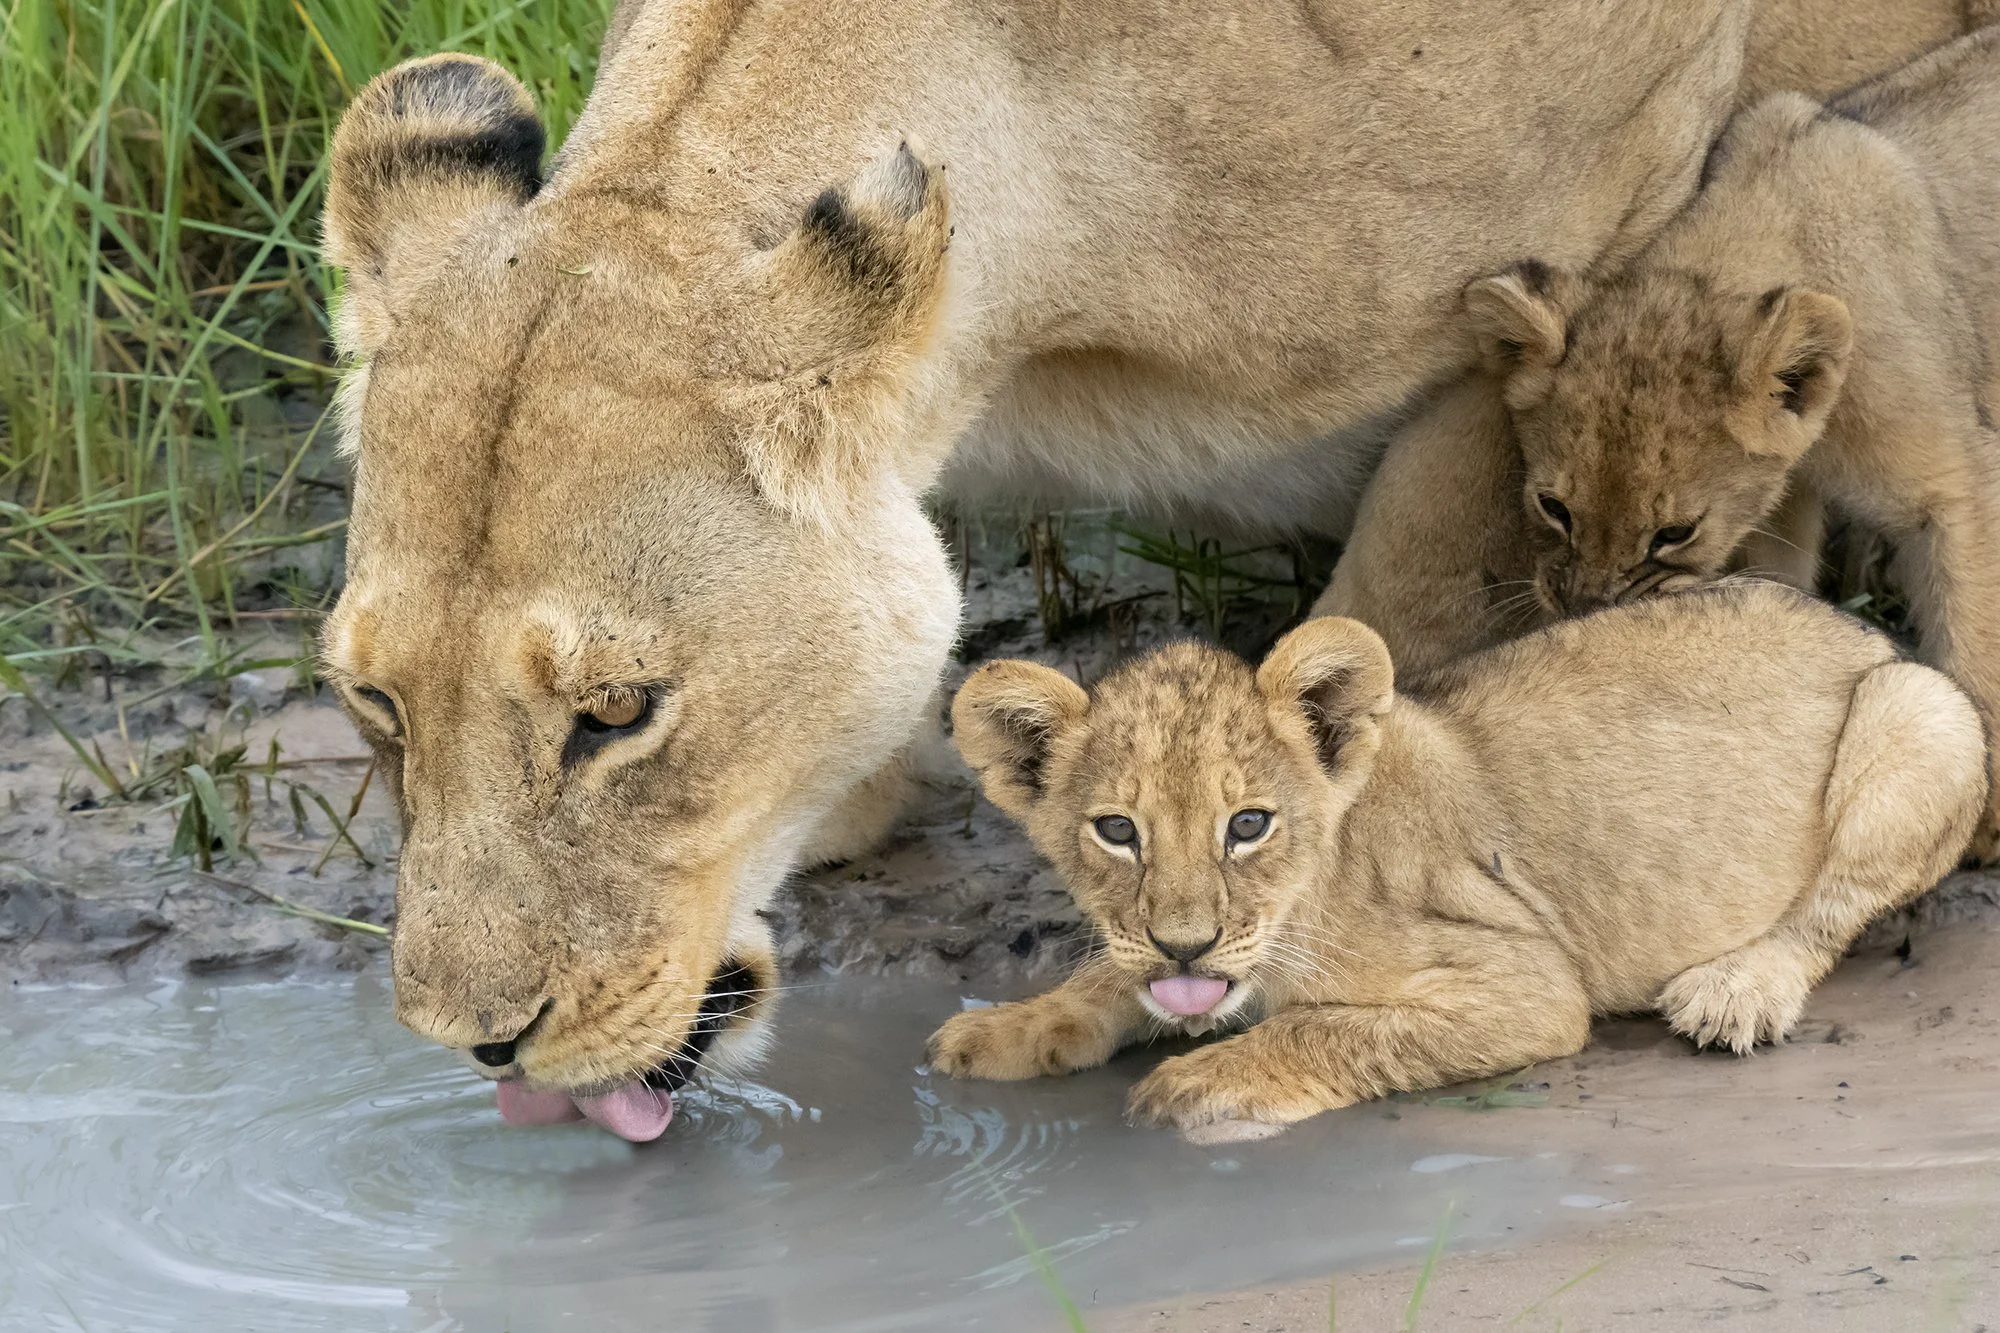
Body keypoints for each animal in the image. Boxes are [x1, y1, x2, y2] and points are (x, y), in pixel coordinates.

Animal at [927, 585, 1986, 1134]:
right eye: (1117, 831)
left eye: (1248, 824)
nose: (1186, 945)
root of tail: (1856, 622)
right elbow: (1110, 973)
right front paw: (1006, 1029)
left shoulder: (1527, 978)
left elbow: (1328, 1026)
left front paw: (1202, 1079)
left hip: (1921, 711)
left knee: (1826, 917)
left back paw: (1736, 991)